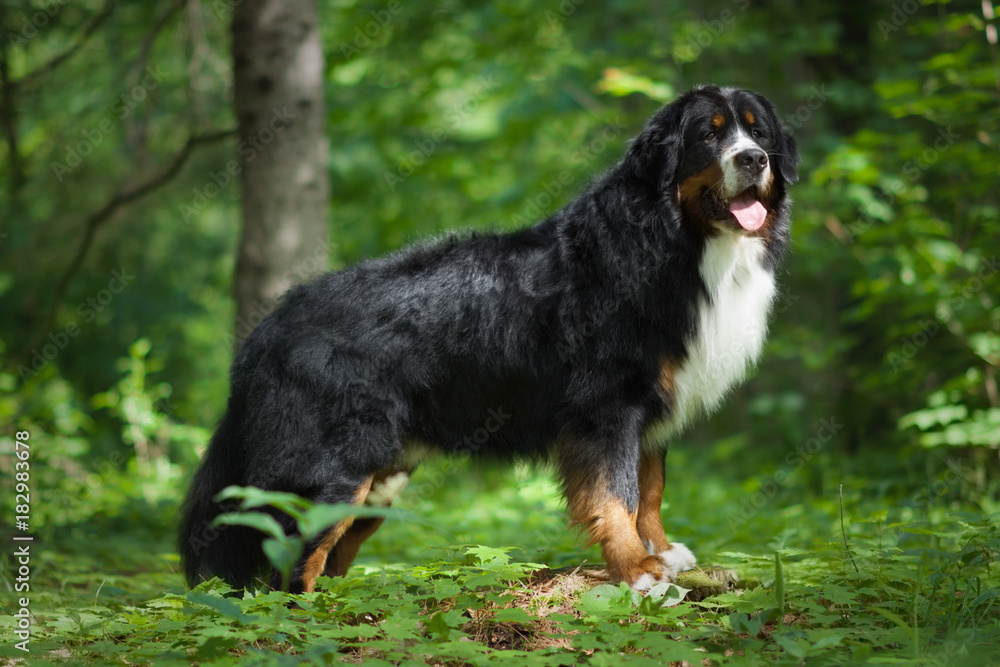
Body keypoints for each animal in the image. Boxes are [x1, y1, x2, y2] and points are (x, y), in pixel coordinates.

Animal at [180, 85, 800, 596]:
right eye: (708, 134)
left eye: (759, 132)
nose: (754, 159)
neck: (674, 241)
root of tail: (267, 327)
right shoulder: (607, 406)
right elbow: (616, 493)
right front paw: (638, 570)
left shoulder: (652, 407)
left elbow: (649, 489)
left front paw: (663, 552)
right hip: (334, 465)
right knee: (292, 556)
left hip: (381, 477)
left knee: (330, 553)